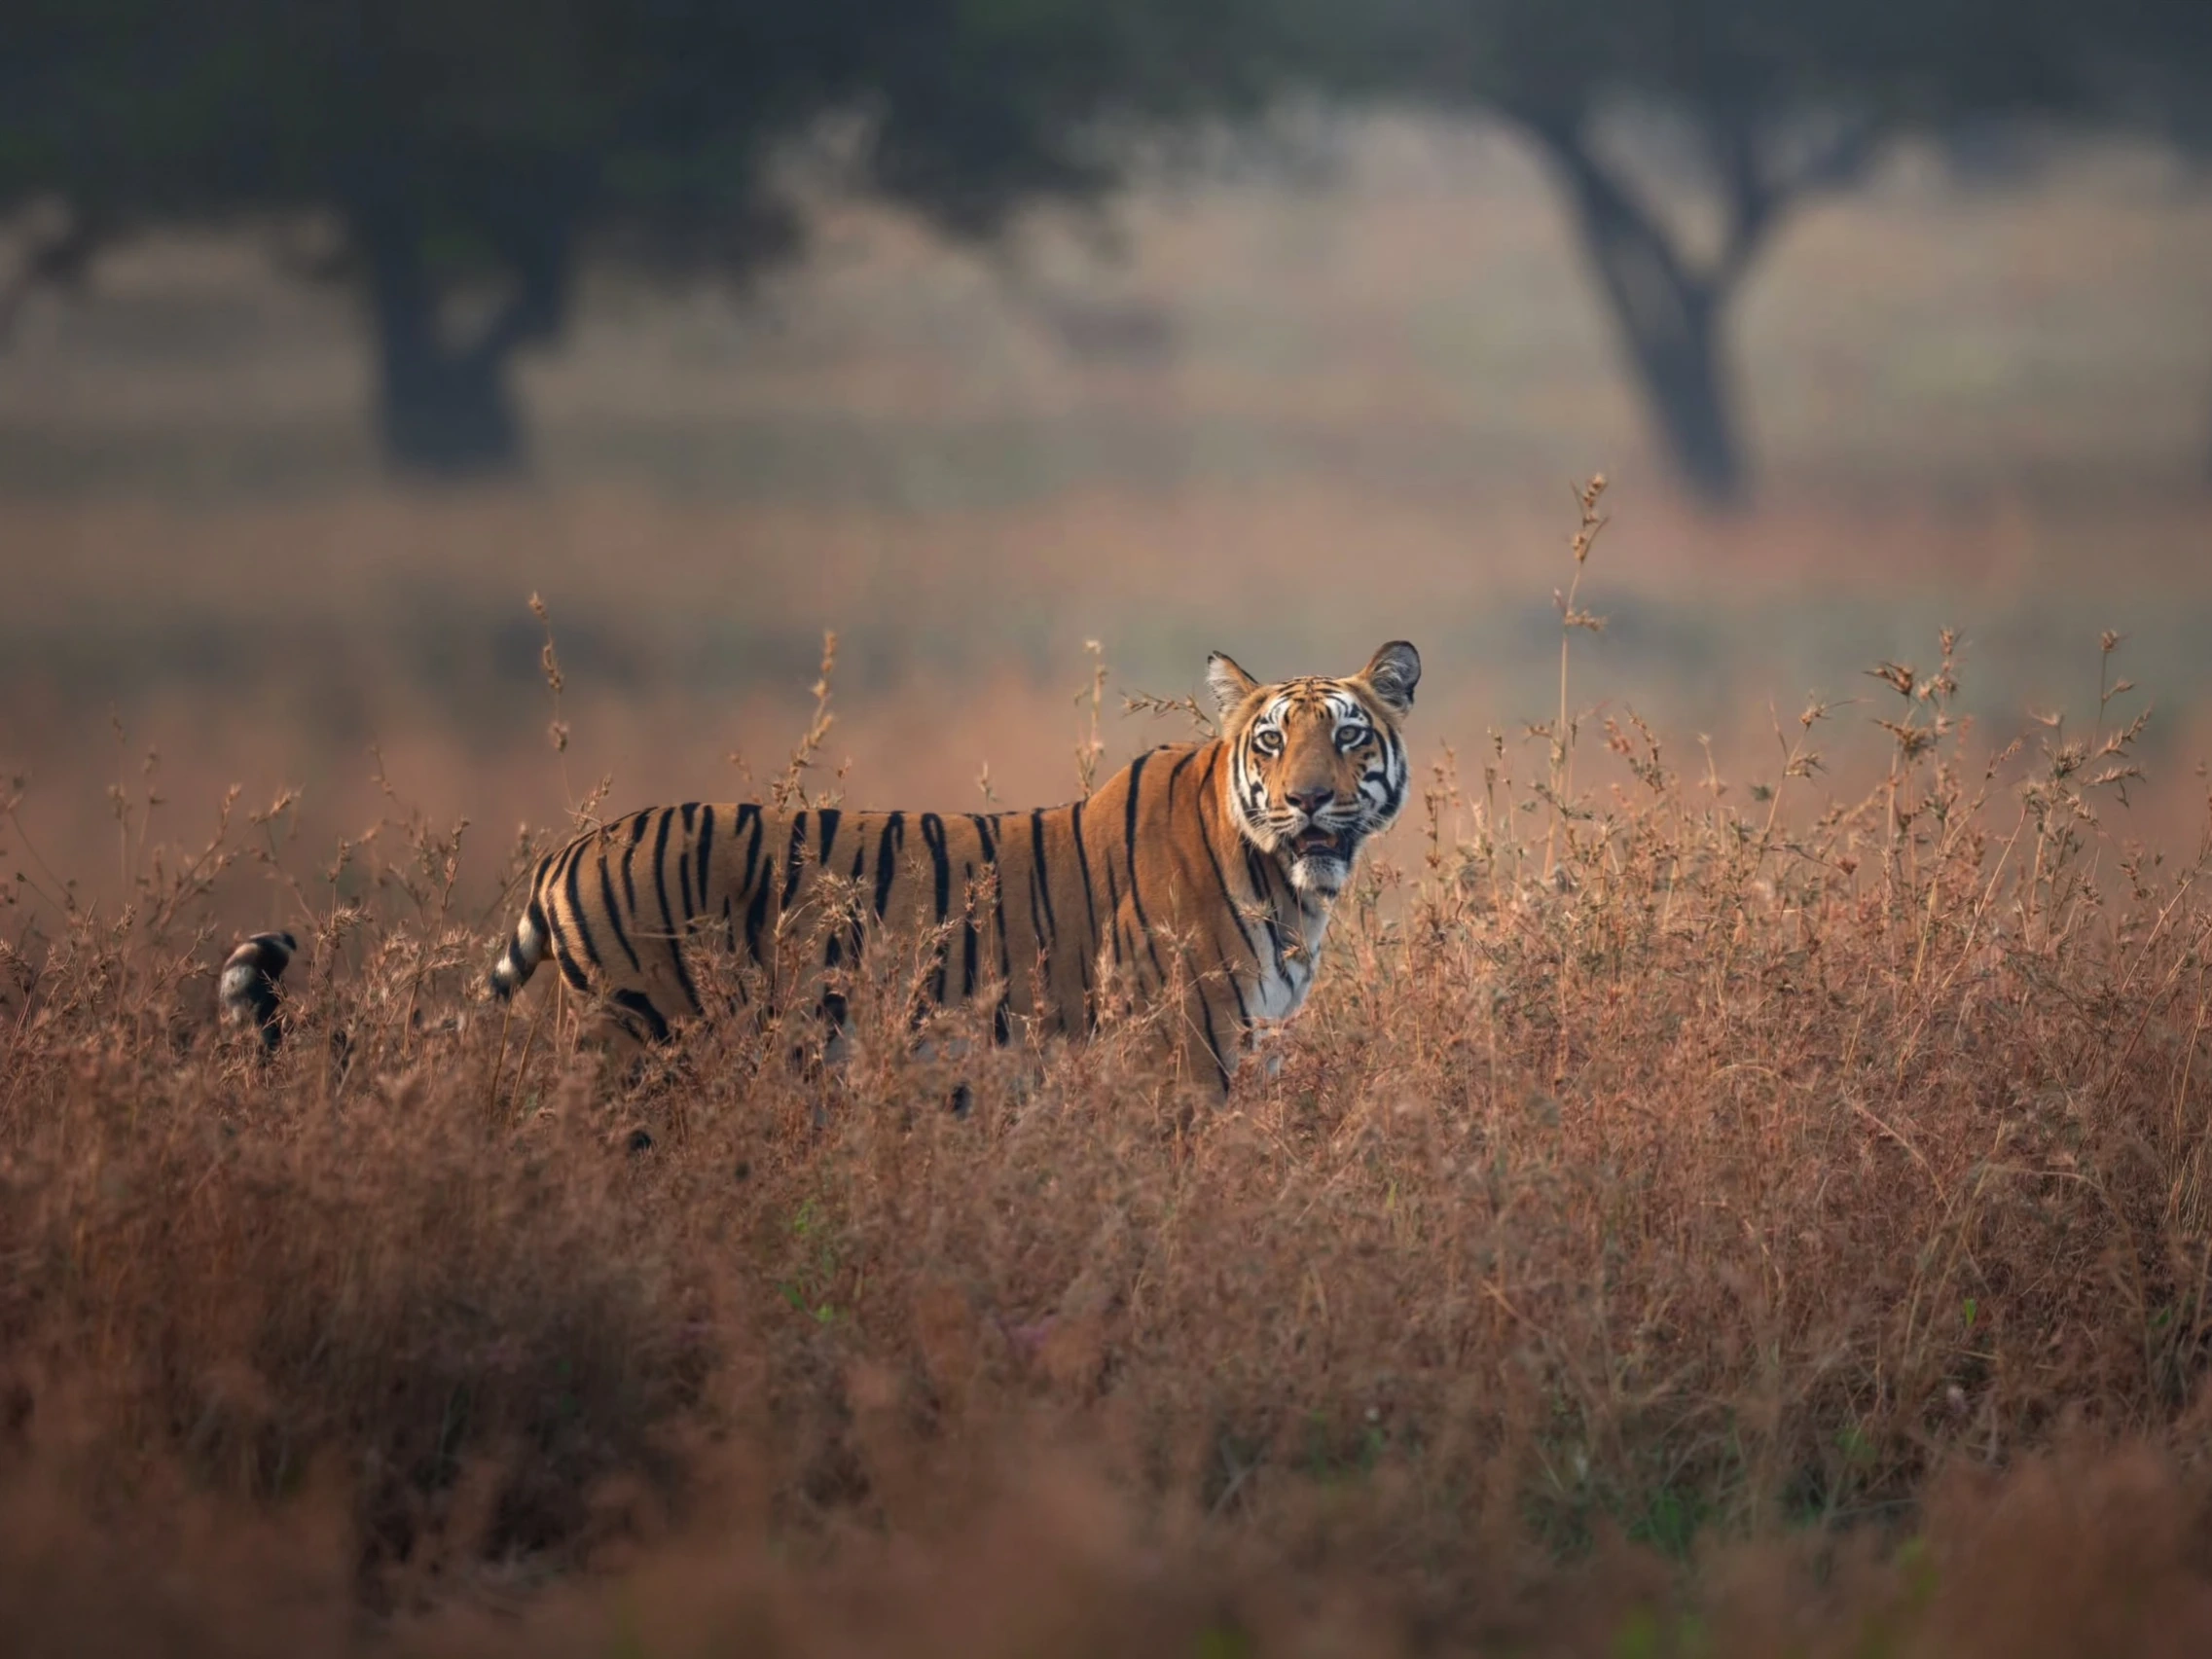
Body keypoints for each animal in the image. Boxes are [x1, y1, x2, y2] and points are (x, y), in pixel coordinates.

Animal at [485, 641, 1420, 1092]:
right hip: (643, 1044)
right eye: (1270, 741)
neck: (1290, 894)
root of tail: (570, 847)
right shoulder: (1187, 1053)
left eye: (1348, 736)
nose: (1305, 799)